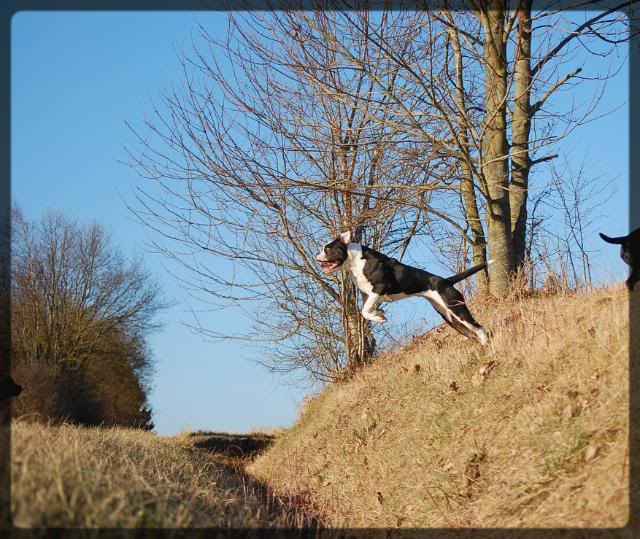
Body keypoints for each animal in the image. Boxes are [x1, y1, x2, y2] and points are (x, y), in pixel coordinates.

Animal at [318, 232, 492, 346]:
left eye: (327, 249)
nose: (317, 256)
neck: (355, 260)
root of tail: (446, 281)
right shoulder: (369, 294)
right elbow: (367, 309)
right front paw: (379, 314)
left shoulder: (380, 287)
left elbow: (364, 311)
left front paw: (379, 317)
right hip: (448, 316)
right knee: (472, 331)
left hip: (456, 308)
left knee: (480, 328)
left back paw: (486, 346)